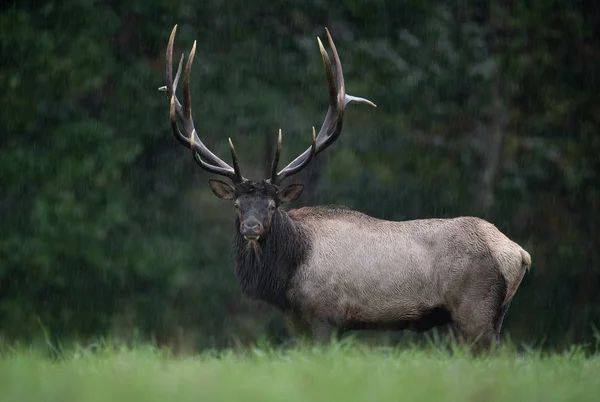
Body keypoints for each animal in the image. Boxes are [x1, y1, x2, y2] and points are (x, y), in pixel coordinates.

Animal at [162, 25, 532, 350]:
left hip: (475, 309)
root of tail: (518, 254)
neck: (288, 276)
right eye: (238, 204)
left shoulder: (326, 315)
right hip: (489, 315)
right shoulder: (298, 322)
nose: (251, 228)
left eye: (273, 205)